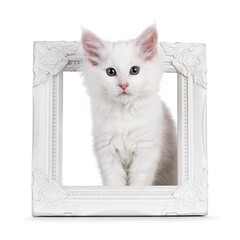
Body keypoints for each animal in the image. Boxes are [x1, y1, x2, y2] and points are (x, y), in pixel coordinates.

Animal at [80, 25, 176, 186]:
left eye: (134, 70)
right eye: (111, 72)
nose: (123, 85)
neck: (124, 112)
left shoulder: (146, 152)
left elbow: (138, 184)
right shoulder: (108, 153)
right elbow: (115, 184)